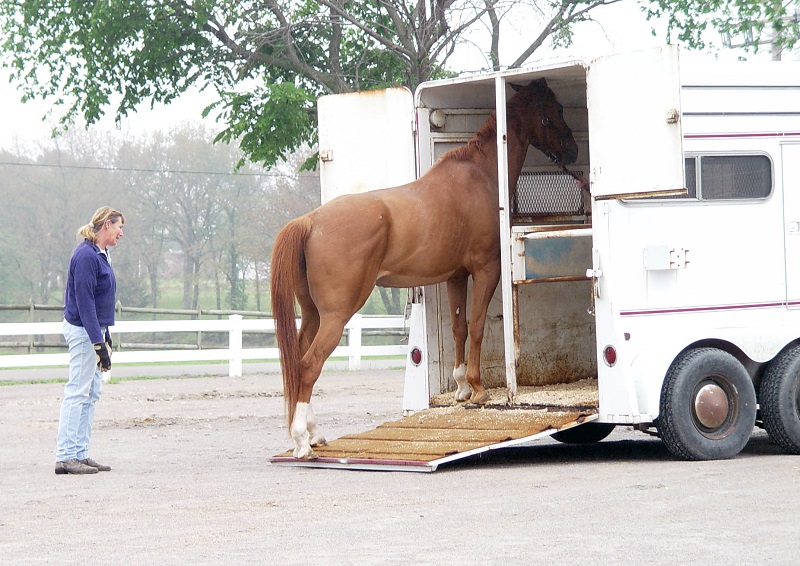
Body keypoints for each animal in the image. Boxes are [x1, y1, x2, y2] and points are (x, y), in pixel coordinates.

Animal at [271, 78, 578, 458]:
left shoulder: (456, 276)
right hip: (336, 314)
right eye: (557, 108)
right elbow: (477, 324)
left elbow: (460, 327)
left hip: (313, 314)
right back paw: (302, 441)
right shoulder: (486, 269)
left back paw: (314, 434)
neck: (481, 174)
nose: (573, 151)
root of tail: (310, 221)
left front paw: (461, 387)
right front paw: (478, 389)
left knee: (297, 362)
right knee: (309, 364)